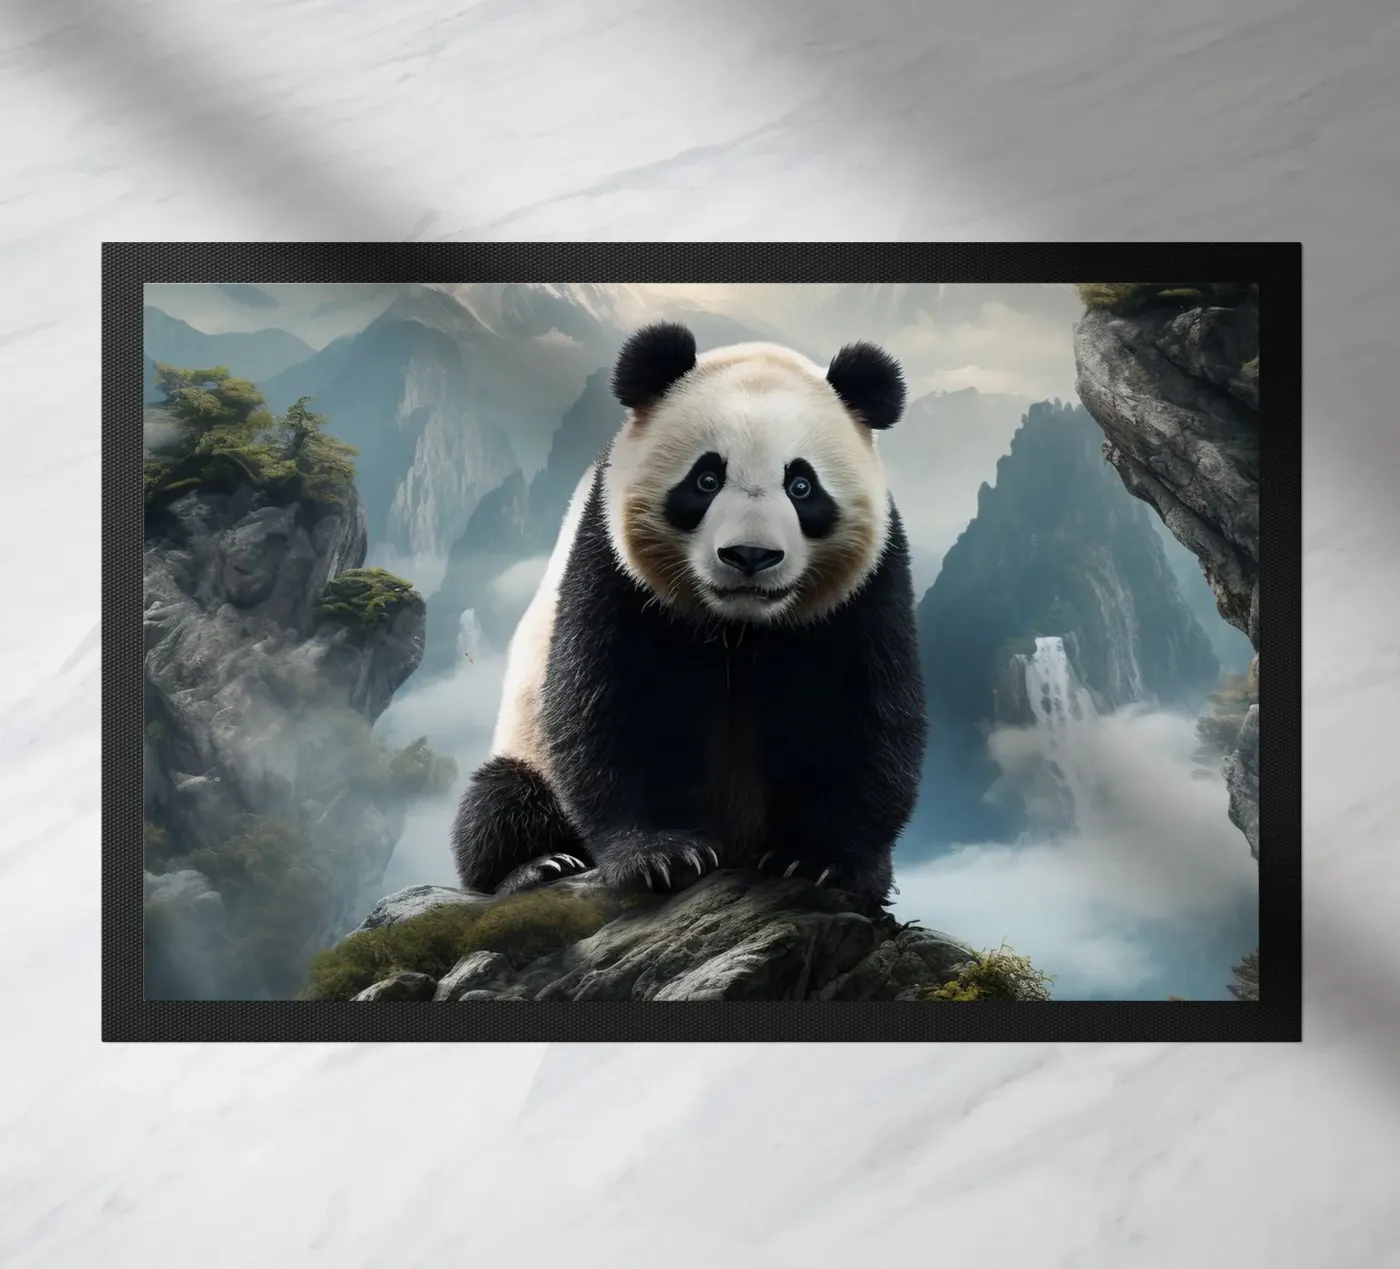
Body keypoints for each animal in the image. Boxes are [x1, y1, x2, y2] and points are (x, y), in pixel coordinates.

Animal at [450, 321, 927, 911]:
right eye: (705, 480)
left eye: (801, 486)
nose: (750, 555)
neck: (739, 626)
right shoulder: (613, 563)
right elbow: (616, 699)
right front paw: (663, 857)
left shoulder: (867, 586)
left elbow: (861, 709)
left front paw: (817, 861)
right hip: (527, 748)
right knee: (500, 801)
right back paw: (537, 867)